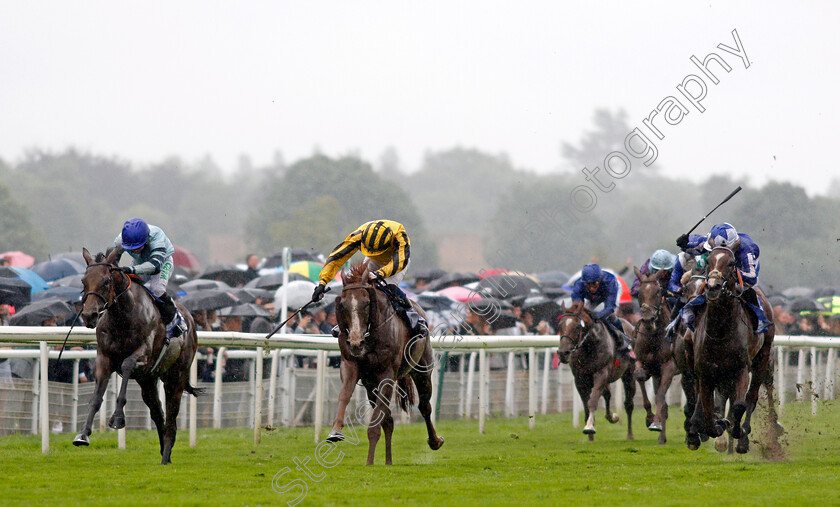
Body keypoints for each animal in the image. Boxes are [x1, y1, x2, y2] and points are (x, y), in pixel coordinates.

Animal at [73, 248, 201, 466]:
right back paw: (164, 452)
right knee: (158, 414)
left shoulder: (143, 356)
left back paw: (166, 456)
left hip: (176, 377)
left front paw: (118, 418)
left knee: (171, 418)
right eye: (83, 281)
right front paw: (83, 434)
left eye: (106, 281)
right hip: (148, 381)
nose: (89, 315)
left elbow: (126, 365)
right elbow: (96, 397)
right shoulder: (104, 359)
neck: (122, 318)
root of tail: (190, 320)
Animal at [326, 264, 446, 466]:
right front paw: (335, 431)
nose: (356, 342)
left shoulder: (387, 374)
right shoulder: (351, 365)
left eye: (366, 303)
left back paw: (434, 441)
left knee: (424, 406)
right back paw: (388, 461)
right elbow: (345, 395)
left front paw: (369, 462)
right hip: (370, 385)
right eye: (343, 305)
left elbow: (375, 423)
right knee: (388, 419)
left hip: (422, 370)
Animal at [556, 302, 636, 440]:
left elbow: (592, 401)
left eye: (577, 326)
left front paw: (589, 427)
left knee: (629, 404)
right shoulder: (580, 379)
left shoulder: (601, 373)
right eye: (560, 325)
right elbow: (586, 405)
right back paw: (611, 417)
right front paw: (590, 437)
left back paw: (630, 434)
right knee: (607, 394)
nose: (562, 353)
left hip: (628, 374)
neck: (589, 347)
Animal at [632, 270, 676, 444]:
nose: (648, 320)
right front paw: (649, 418)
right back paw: (662, 438)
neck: (653, 336)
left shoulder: (669, 366)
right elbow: (639, 376)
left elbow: (660, 397)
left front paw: (656, 423)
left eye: (658, 292)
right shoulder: (641, 361)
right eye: (639, 293)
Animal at [684, 246, 776, 452]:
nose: (713, 287)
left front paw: (737, 430)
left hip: (762, 358)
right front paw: (716, 425)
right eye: (708, 261)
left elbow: (740, 404)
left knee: (752, 396)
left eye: (731, 263)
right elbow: (708, 408)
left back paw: (742, 438)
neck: (720, 332)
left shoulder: (740, 368)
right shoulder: (706, 371)